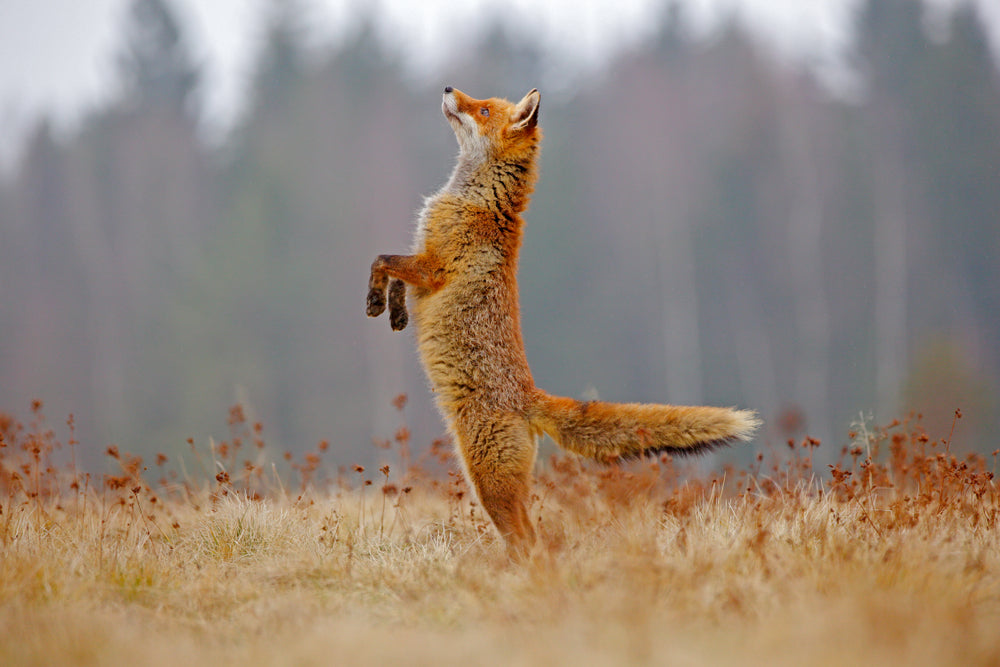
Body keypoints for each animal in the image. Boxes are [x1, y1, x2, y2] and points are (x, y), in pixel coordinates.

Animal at [367, 87, 760, 556]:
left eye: (483, 109)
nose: (447, 89)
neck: (475, 199)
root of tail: (529, 396)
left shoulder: (433, 267)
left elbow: (382, 259)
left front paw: (375, 300)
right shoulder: (422, 263)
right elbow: (395, 277)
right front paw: (395, 311)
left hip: (488, 482)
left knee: (528, 540)